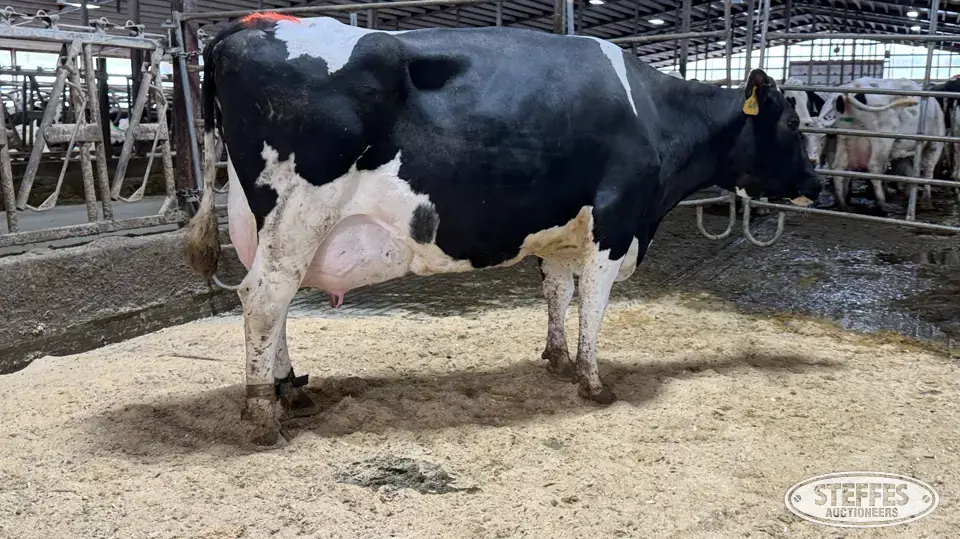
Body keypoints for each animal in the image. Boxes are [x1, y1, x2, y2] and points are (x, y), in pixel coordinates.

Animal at [183, 13, 822, 446]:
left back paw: (291, 388)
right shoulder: (615, 224)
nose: (816, 185)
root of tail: (247, 26)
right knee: (264, 297)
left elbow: (557, 292)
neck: (656, 119)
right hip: (300, 212)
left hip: (267, 225)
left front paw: (557, 358)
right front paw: (593, 381)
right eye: (793, 124)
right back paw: (263, 414)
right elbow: (593, 305)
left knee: (276, 302)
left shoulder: (563, 230)